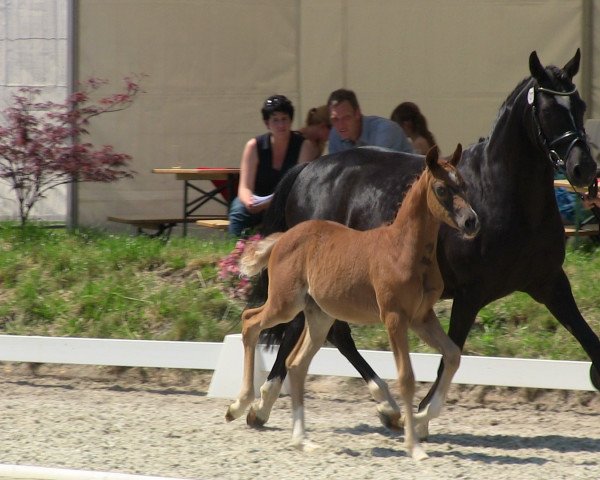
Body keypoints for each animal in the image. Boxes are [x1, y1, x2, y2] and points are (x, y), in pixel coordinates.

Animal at [225, 144, 478, 460]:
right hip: (285, 303)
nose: (471, 221)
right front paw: (414, 445)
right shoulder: (395, 318)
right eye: (441, 188)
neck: (404, 249)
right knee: (251, 321)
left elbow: (453, 355)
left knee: (296, 364)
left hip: (319, 316)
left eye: (464, 185)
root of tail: (283, 237)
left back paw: (301, 439)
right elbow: (406, 377)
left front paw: (417, 419)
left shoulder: (422, 317)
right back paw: (239, 406)